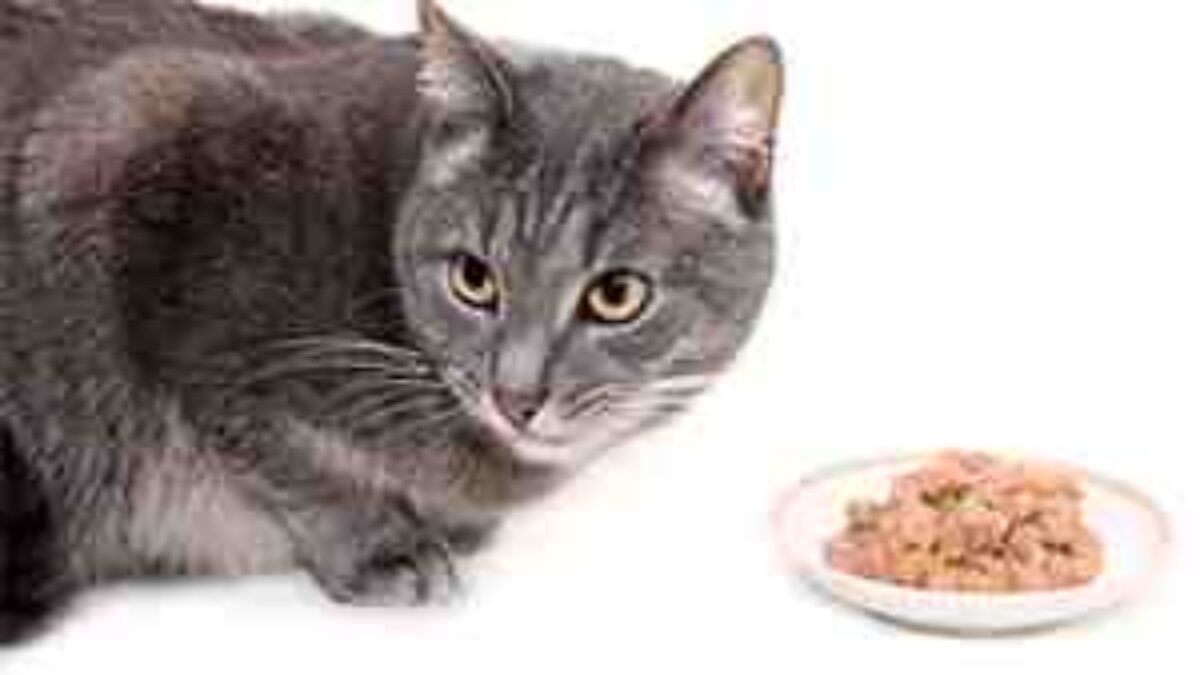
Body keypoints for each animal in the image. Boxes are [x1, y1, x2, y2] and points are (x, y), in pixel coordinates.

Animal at [0, 0, 783, 643]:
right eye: (473, 278)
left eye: (616, 295)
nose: (516, 397)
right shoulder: (126, 153)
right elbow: (282, 448)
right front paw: (380, 542)